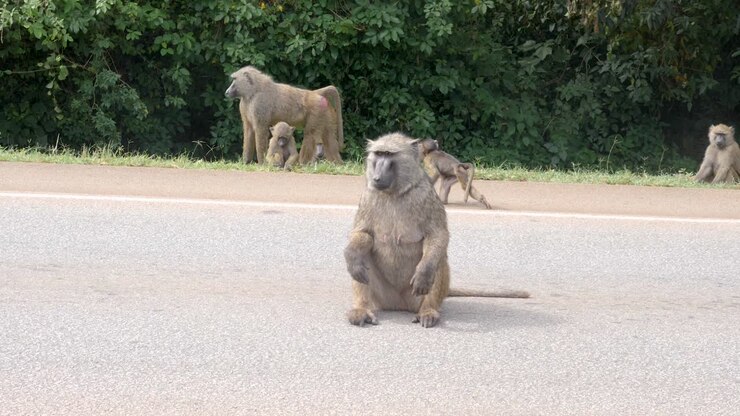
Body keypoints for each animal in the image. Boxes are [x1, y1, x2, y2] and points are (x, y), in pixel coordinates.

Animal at [344, 132, 529, 328]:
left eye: (389, 155)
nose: (377, 178)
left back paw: (428, 311)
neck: (395, 192)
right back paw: (361, 309)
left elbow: (437, 236)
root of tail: (399, 305)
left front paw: (424, 273)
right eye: (378, 154)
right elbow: (362, 234)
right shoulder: (367, 196)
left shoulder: (427, 196)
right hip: (382, 298)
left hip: (414, 297)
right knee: (363, 254)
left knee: (438, 258)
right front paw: (351, 255)